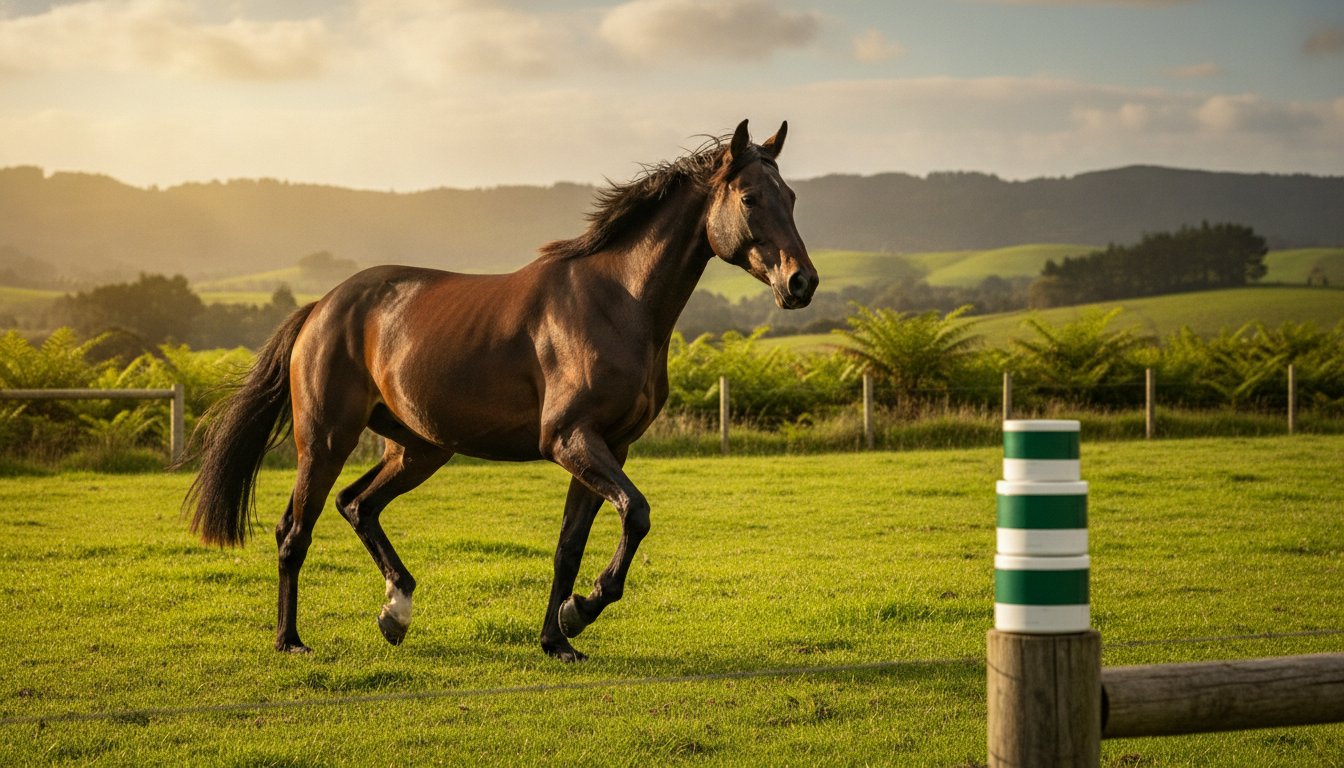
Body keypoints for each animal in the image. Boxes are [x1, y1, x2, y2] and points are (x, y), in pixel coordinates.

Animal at [183, 119, 818, 662]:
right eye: (750, 199)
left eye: (791, 198)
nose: (801, 282)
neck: (617, 302)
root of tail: (322, 307)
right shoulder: (569, 439)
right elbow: (636, 514)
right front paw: (581, 609)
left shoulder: (608, 446)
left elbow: (569, 545)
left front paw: (558, 636)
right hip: (326, 440)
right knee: (295, 531)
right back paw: (291, 640)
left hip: (418, 448)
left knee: (357, 504)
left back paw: (396, 611)